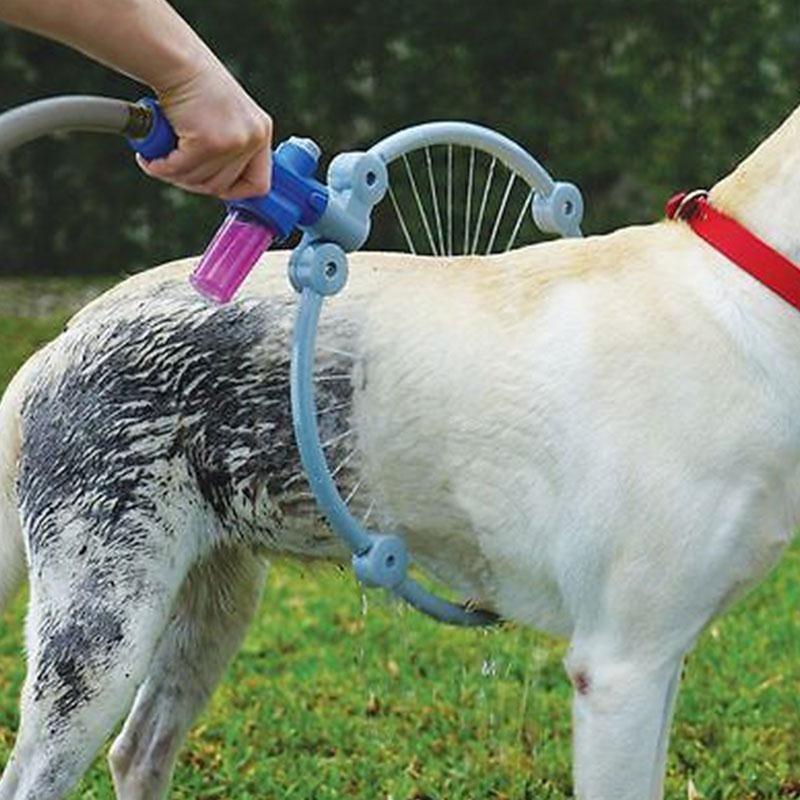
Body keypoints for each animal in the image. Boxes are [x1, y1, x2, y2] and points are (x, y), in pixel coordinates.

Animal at [1, 101, 800, 800]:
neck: (744, 293)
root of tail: (64, 338)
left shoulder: (661, 659)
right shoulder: (621, 668)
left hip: (213, 601)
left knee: (138, 751)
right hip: (101, 632)